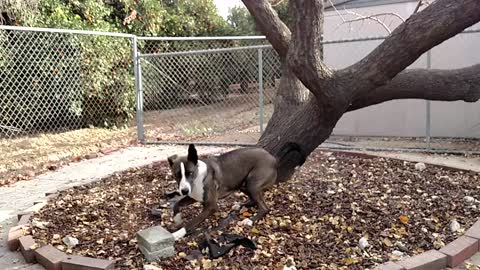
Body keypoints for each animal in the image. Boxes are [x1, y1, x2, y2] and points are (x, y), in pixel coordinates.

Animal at [167, 142, 306, 239]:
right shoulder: (193, 196)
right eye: (176, 175)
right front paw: (177, 219)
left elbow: (191, 223)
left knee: (265, 208)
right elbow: (177, 203)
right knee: (253, 200)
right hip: (243, 184)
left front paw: (177, 234)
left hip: (252, 184)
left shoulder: (211, 206)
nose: (184, 190)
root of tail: (273, 158)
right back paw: (240, 205)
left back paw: (250, 220)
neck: (198, 177)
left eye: (190, 173)